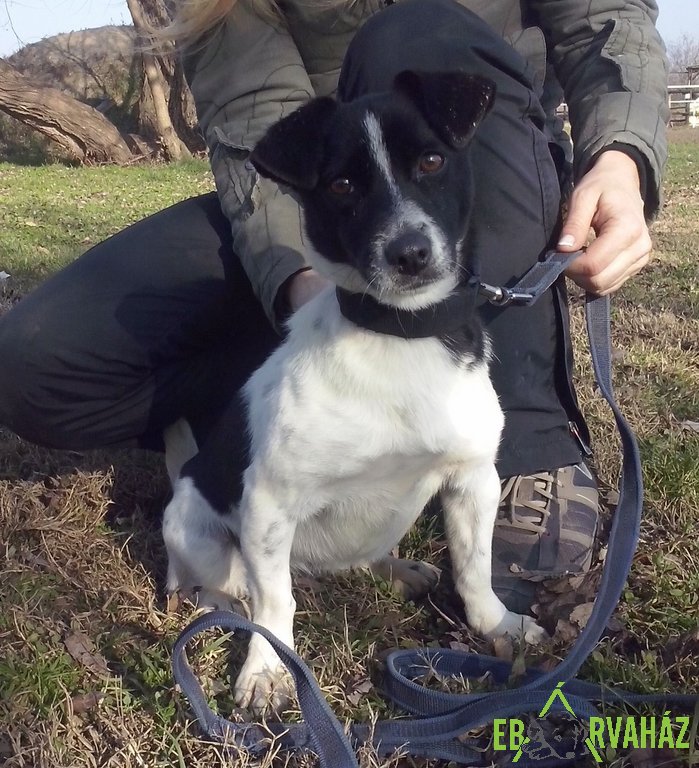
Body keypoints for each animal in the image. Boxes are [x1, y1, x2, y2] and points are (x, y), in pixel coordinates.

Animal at [162, 69, 545, 714]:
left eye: (432, 160)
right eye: (342, 185)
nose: (410, 253)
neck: (399, 335)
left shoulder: (473, 480)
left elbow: (474, 566)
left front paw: (497, 625)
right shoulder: (268, 503)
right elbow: (274, 606)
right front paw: (267, 669)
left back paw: (396, 569)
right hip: (197, 535)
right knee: (221, 588)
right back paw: (226, 601)